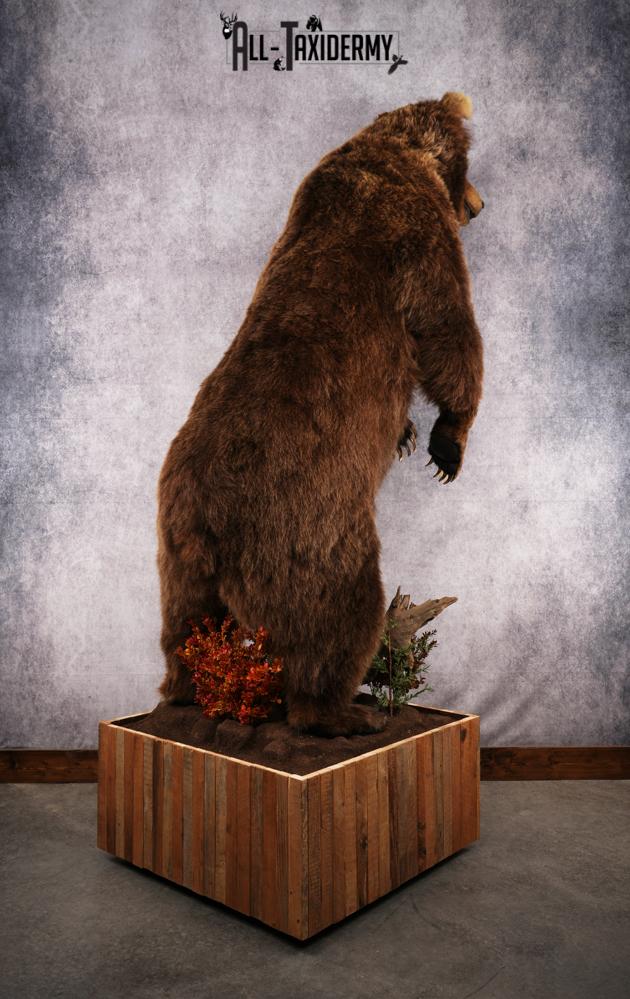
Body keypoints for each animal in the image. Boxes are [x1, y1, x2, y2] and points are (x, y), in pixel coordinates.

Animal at [156, 91, 484, 736]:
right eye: (469, 172)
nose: (479, 206)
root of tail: (207, 517)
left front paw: (408, 435)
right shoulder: (417, 234)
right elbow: (446, 326)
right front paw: (447, 444)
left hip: (176, 550)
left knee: (182, 625)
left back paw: (182, 692)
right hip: (312, 528)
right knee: (332, 622)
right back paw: (345, 714)